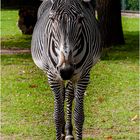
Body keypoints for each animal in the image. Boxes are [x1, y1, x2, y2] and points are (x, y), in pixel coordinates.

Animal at [31, 0, 101, 140]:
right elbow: (57, 116)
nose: (66, 70)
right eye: (52, 18)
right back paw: (63, 130)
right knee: (63, 95)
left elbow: (79, 116)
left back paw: (68, 131)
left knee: (68, 95)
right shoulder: (53, 76)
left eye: (81, 19)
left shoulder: (83, 76)